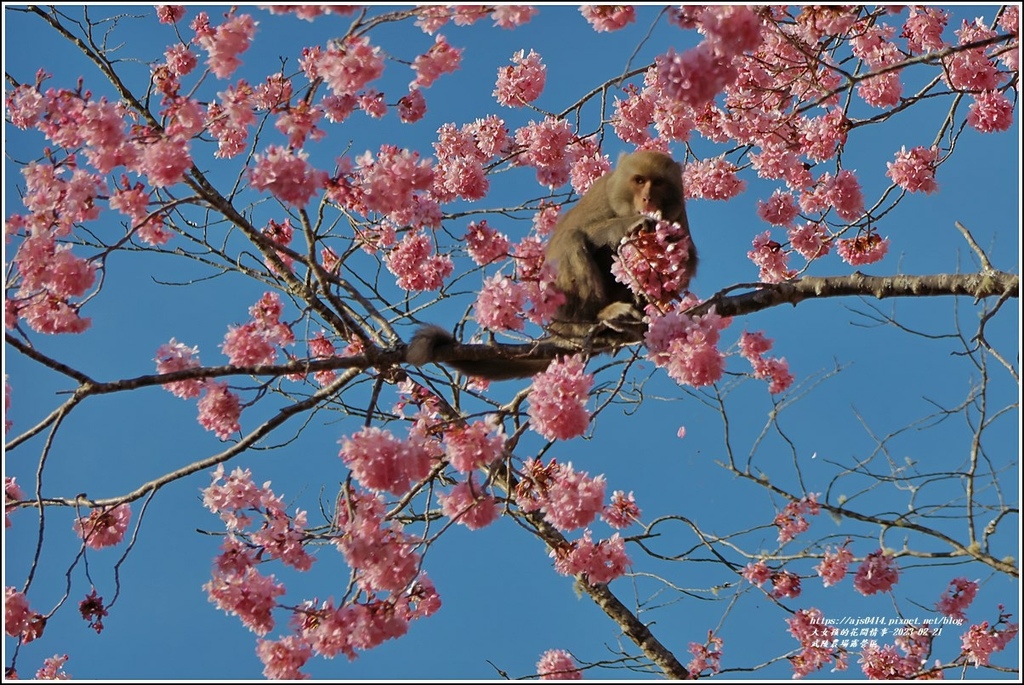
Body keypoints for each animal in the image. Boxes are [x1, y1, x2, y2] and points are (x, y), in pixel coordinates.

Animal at [407, 150, 696, 378]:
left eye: (658, 183)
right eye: (639, 181)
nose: (647, 199)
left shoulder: (677, 212)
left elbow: (687, 262)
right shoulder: (603, 193)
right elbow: (580, 230)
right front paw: (631, 224)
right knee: (571, 240)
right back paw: (591, 323)